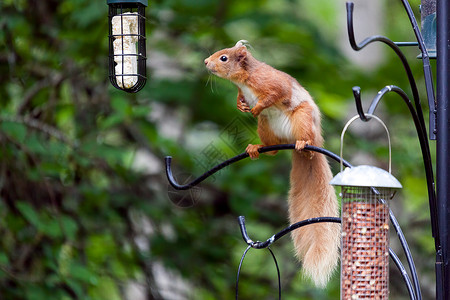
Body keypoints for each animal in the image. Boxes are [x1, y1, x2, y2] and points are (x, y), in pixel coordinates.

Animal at [206, 40, 340, 288]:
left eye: (224, 58)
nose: (205, 62)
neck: (244, 80)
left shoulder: (271, 82)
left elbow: (276, 93)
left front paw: (257, 106)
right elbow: (241, 98)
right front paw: (240, 105)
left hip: (303, 118)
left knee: (304, 140)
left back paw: (303, 144)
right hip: (266, 126)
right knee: (274, 148)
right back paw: (256, 148)